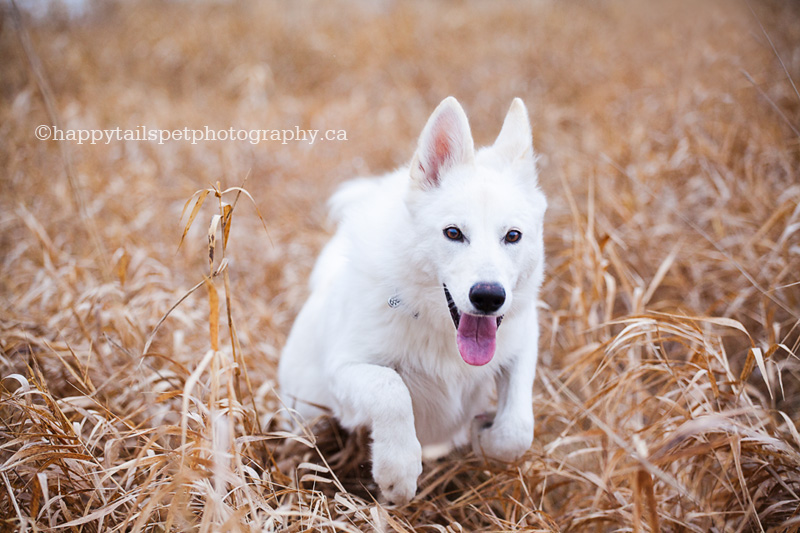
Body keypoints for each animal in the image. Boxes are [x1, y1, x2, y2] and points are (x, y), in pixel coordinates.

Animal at [278, 96, 548, 502]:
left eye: (512, 236)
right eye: (453, 233)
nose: (488, 297)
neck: (440, 330)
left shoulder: (521, 345)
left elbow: (517, 429)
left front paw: (484, 438)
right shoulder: (344, 370)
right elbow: (392, 390)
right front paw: (398, 471)